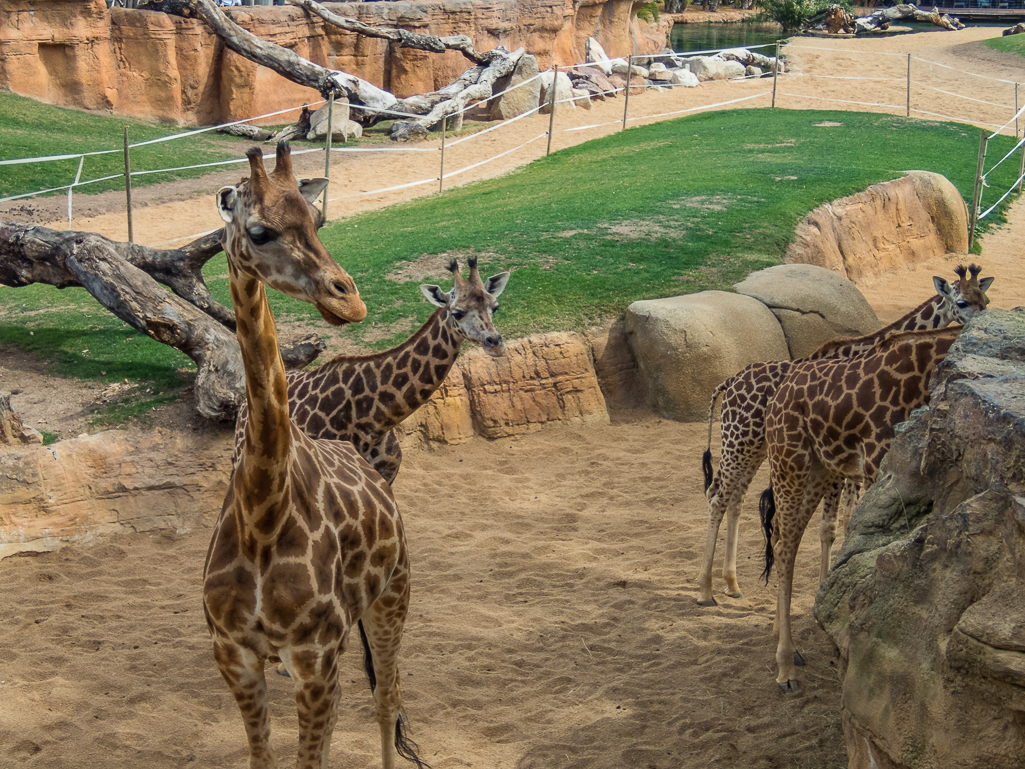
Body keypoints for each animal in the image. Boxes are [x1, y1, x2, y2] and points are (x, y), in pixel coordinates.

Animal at [201, 144, 426, 769]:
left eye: (317, 219)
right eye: (260, 231)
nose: (349, 300)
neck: (261, 512)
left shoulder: (315, 657)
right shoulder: (235, 657)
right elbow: (263, 758)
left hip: (393, 593)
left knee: (388, 697)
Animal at [697, 264, 992, 606]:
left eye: (985, 298)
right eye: (961, 302)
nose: (982, 325)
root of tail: (728, 383)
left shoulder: (851, 466)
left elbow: (850, 520)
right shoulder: (846, 463)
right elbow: (831, 526)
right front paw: (824, 588)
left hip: (754, 448)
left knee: (735, 498)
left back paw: (731, 584)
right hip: (739, 441)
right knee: (717, 496)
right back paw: (705, 590)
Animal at [758, 326, 963, 693]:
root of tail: (778, 396)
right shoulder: (876, 465)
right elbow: (873, 551)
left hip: (819, 470)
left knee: (785, 538)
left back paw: (790, 647)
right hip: (790, 462)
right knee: (783, 546)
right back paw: (785, 669)